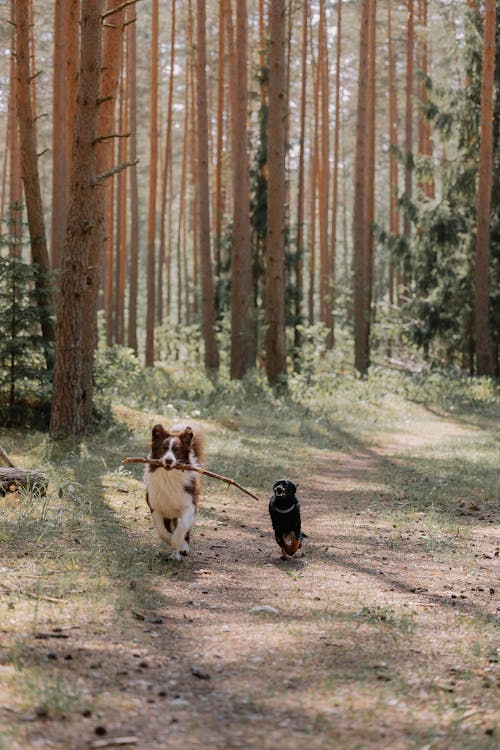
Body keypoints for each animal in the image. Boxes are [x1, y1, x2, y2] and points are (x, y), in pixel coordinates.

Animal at [145, 424, 205, 560]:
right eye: (163, 448)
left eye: (177, 450)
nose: (168, 460)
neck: (169, 477)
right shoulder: (155, 506)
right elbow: (162, 530)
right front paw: (170, 540)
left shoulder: (190, 505)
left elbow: (182, 526)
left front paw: (178, 543)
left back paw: (182, 549)